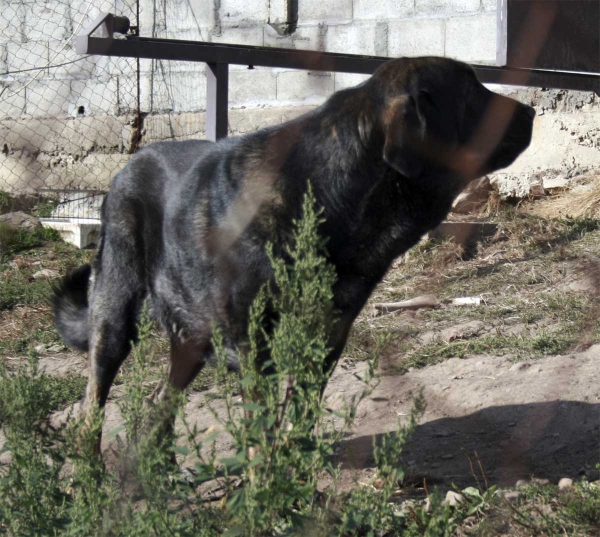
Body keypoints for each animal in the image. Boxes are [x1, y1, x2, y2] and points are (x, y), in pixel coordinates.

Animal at [54, 56, 536, 438]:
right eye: (472, 91)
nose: (532, 110)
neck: (329, 193)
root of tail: (126, 166)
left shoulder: (325, 344)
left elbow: (300, 424)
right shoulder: (255, 349)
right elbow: (262, 437)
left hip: (190, 337)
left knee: (159, 402)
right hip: (115, 318)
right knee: (91, 413)